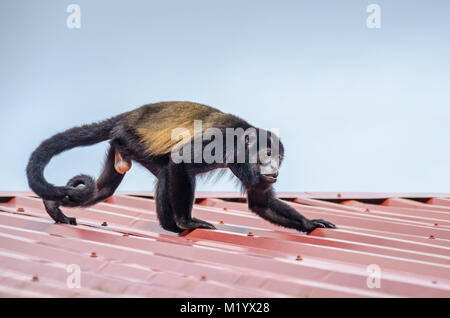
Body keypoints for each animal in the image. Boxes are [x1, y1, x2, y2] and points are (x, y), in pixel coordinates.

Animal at [24, 102, 334, 234]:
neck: (242, 144)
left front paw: (309, 223)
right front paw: (188, 221)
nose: (275, 169)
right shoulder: (221, 141)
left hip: (122, 146)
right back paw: (180, 224)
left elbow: (261, 202)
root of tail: (126, 117)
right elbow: (183, 159)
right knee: (171, 169)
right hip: (132, 139)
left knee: (105, 188)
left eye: (278, 158)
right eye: (266, 155)